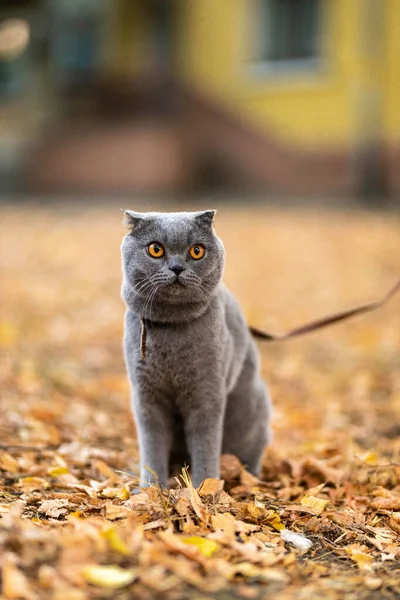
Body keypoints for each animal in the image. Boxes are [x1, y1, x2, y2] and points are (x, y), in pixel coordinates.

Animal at [121, 210, 272, 488]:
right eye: (155, 249)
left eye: (197, 251)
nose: (177, 267)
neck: (171, 328)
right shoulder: (146, 395)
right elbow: (152, 446)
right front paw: (150, 489)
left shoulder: (206, 392)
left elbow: (205, 443)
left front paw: (205, 488)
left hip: (252, 409)